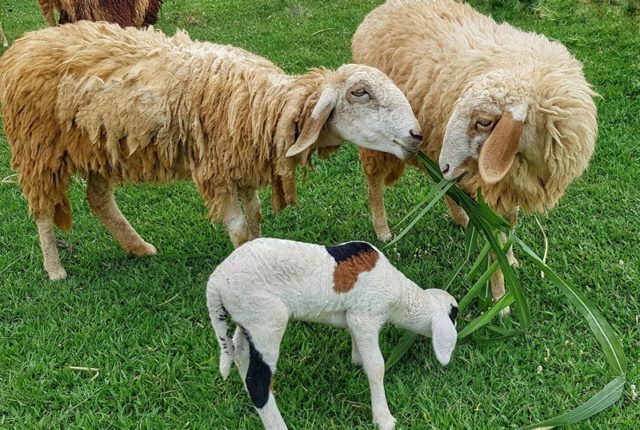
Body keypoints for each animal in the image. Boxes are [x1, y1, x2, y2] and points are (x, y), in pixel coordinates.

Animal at [0, 21, 423, 281]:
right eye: (360, 93)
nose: (416, 135)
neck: (266, 105)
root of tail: (23, 44)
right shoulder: (217, 170)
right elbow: (238, 229)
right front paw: (245, 265)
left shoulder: (245, 164)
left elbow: (255, 216)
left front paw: (260, 253)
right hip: (38, 146)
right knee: (42, 210)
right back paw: (55, 269)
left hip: (99, 144)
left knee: (98, 198)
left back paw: (139, 248)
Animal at [207, 237, 458, 430]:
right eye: (454, 314)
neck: (401, 295)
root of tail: (215, 283)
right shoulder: (365, 317)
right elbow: (377, 367)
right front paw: (384, 419)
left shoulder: (354, 318)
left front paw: (357, 360)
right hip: (266, 319)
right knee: (258, 382)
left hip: (247, 318)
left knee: (240, 354)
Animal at [352, 0, 597, 314]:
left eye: (483, 122)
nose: (446, 163)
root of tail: (379, 11)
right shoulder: (492, 186)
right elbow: (494, 243)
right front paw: (501, 302)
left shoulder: (508, 184)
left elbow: (509, 225)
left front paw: (511, 260)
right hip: (382, 135)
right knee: (375, 181)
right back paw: (383, 230)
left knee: (442, 183)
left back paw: (461, 217)